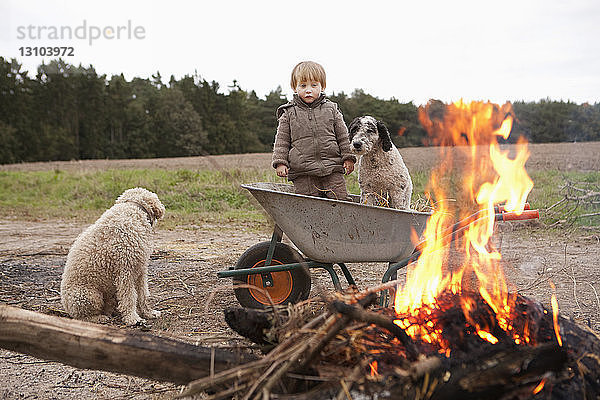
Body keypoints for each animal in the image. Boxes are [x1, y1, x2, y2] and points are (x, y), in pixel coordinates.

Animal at [61, 188, 165, 324]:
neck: (132, 208)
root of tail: (65, 305)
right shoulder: (125, 272)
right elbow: (129, 297)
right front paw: (133, 318)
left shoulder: (141, 270)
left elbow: (143, 295)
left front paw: (148, 313)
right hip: (89, 296)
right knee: (81, 317)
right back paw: (99, 318)